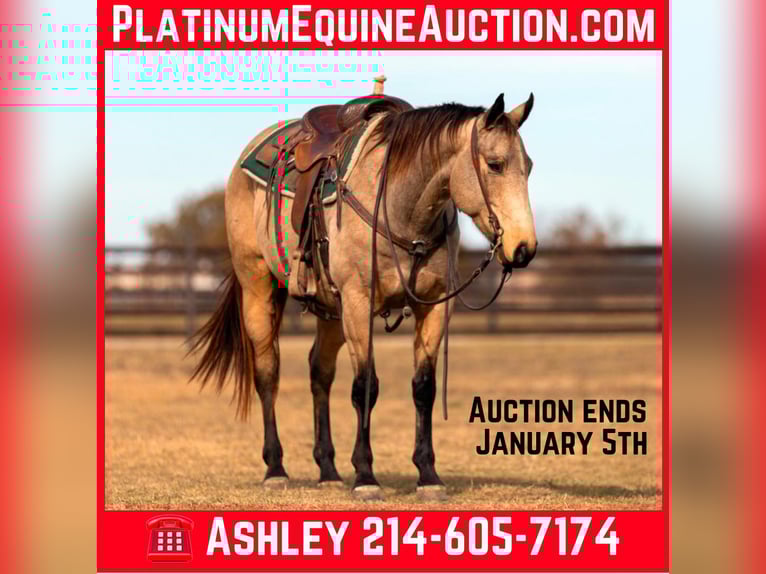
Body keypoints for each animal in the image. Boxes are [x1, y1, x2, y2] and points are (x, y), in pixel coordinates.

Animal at [190, 92, 537, 500]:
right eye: (495, 165)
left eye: (528, 167)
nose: (524, 248)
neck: (400, 208)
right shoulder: (358, 304)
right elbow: (364, 388)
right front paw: (366, 476)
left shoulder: (433, 307)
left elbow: (424, 388)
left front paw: (428, 475)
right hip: (258, 290)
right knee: (267, 373)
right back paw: (275, 468)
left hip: (330, 312)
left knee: (319, 373)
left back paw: (327, 468)